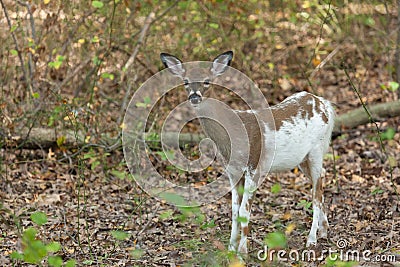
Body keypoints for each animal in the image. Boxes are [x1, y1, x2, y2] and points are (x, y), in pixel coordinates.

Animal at [159, 50, 334, 258]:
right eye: (185, 81)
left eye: (207, 81)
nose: (195, 97)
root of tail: (324, 103)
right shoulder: (232, 171)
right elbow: (234, 211)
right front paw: (230, 249)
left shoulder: (254, 166)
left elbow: (244, 211)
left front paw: (242, 253)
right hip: (303, 158)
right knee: (322, 178)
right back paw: (324, 230)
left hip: (316, 148)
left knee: (316, 192)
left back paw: (312, 239)